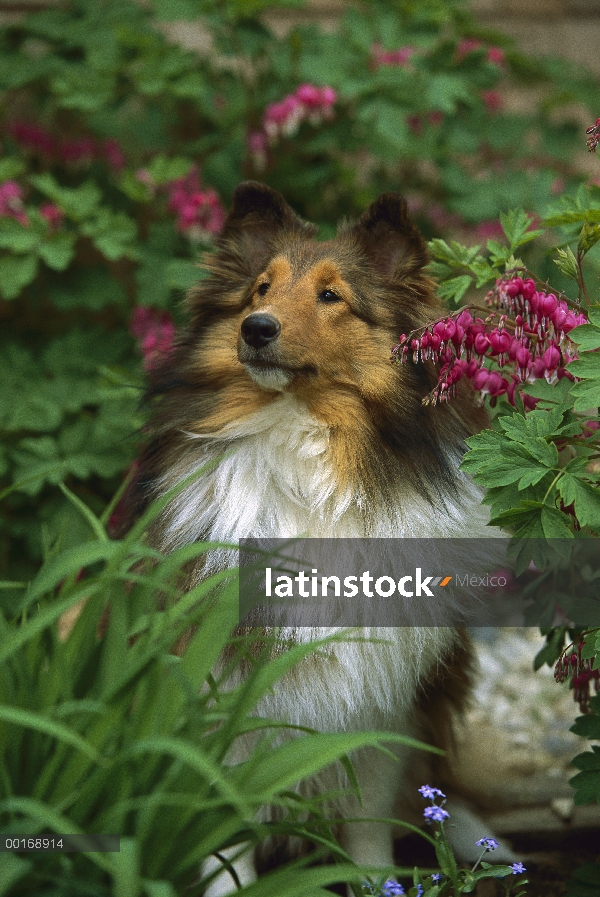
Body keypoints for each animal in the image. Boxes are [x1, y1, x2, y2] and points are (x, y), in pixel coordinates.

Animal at [129, 180, 508, 888]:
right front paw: (228, 889)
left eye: (331, 296)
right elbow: (222, 810)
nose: (256, 328)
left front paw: (378, 885)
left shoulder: (380, 686)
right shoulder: (223, 671)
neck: (304, 445)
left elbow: (371, 808)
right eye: (260, 288)